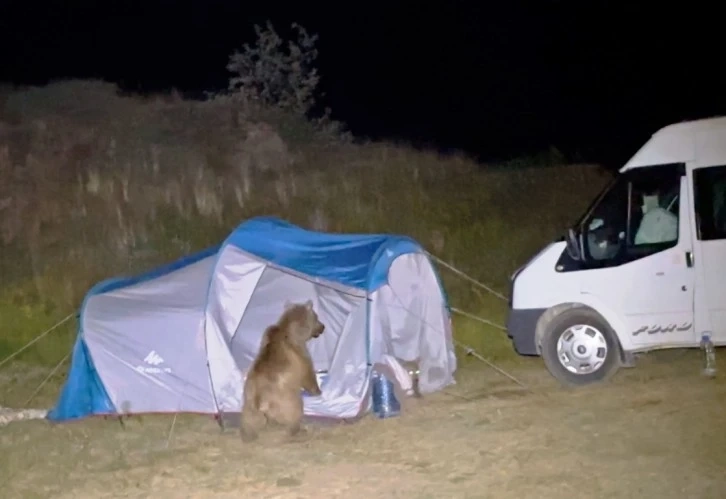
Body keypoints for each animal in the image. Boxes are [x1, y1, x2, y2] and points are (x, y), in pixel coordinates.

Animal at [240, 298, 326, 444]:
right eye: (316, 317)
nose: (323, 326)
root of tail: (261, 402)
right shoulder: (300, 352)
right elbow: (308, 374)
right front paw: (317, 391)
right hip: (286, 399)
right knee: (295, 411)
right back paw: (297, 430)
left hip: (248, 405)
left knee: (249, 422)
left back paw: (248, 435)